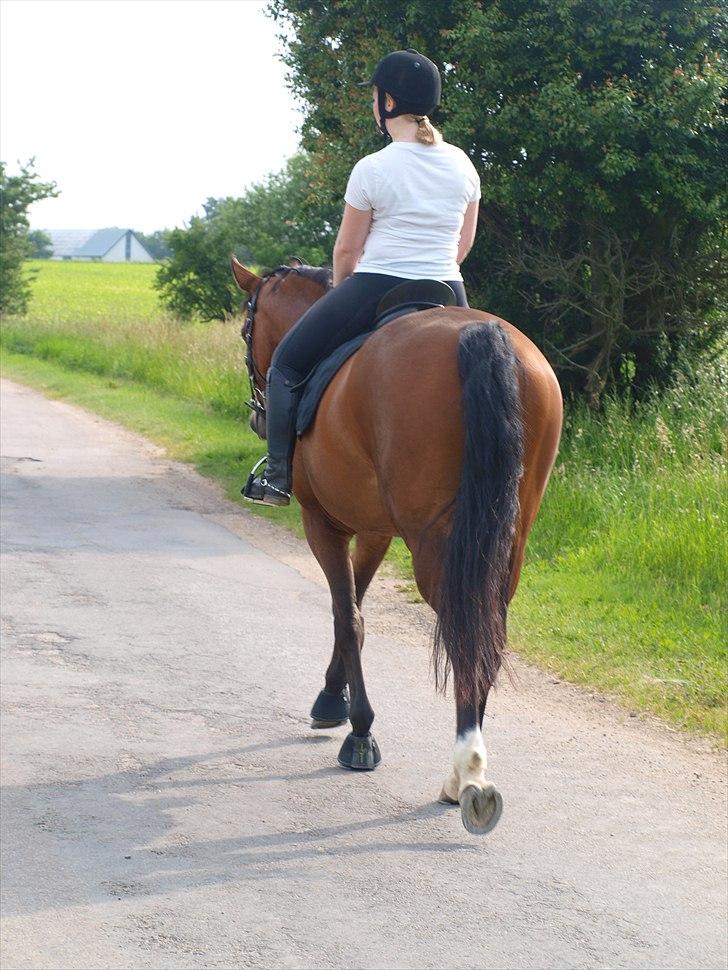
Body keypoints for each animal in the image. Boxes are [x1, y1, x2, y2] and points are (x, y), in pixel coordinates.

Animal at [233, 255, 564, 832]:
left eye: (247, 329)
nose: (256, 412)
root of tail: (482, 334)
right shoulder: (374, 529)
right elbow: (356, 611)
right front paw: (332, 698)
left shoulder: (323, 523)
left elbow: (347, 615)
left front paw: (359, 730)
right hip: (507, 539)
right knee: (488, 630)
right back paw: (468, 770)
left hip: (435, 543)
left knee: (463, 627)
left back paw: (467, 774)